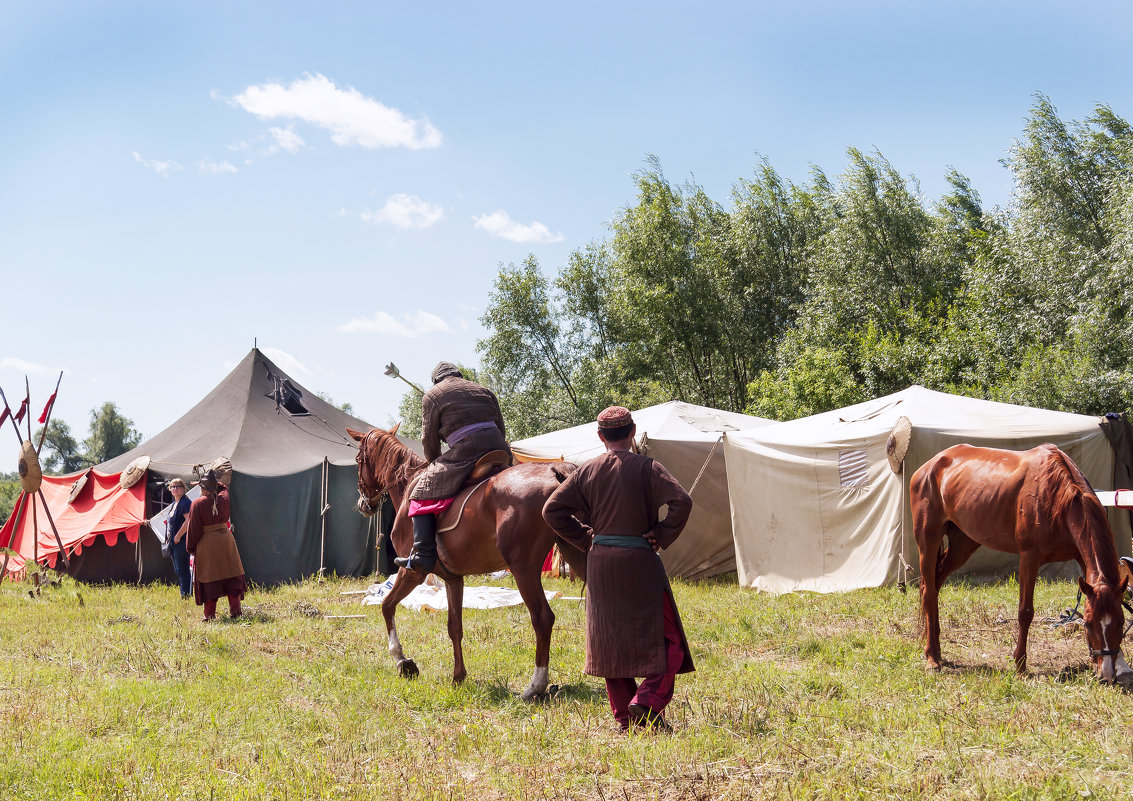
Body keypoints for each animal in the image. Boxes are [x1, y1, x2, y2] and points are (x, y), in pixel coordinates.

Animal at [348, 425, 589, 702]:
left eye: (358, 460)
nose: (364, 504)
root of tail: (554, 470)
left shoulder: (411, 573)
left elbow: (386, 606)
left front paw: (403, 661)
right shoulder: (453, 579)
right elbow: (455, 626)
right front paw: (458, 676)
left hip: (524, 569)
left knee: (542, 617)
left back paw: (536, 686)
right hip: (577, 553)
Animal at [915, 444, 1128, 684]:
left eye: (1121, 622)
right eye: (1088, 623)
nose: (1106, 675)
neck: (1058, 497)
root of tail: (929, 466)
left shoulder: (1082, 559)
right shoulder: (1029, 558)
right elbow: (1025, 612)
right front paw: (1020, 665)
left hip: (963, 544)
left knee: (934, 587)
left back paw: (936, 650)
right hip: (928, 540)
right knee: (928, 593)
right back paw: (932, 658)